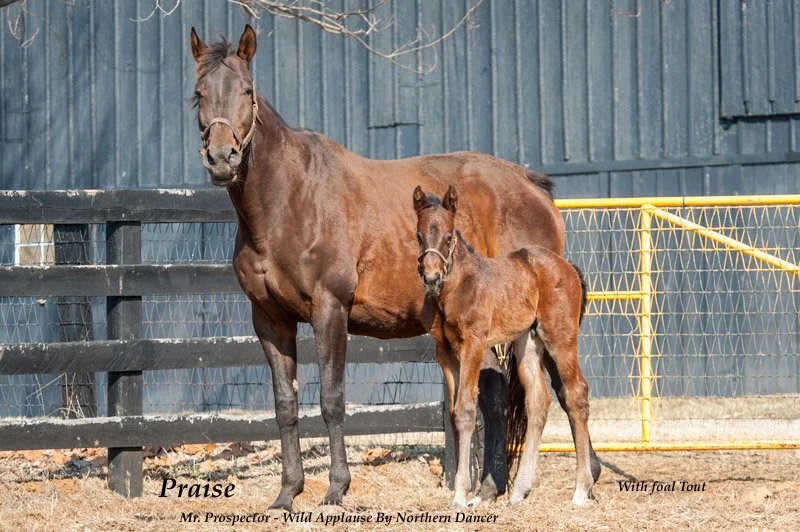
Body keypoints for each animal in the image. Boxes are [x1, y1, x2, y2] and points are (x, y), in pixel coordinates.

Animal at [190, 24, 568, 510]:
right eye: (199, 93)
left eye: (247, 91)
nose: (223, 158)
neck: (289, 200)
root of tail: (531, 185)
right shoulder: (270, 320)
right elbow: (285, 404)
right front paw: (287, 493)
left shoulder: (329, 311)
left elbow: (331, 399)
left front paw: (336, 489)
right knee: (497, 395)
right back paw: (487, 488)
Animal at [413, 185, 601, 507]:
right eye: (419, 235)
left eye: (449, 236)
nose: (432, 277)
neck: (457, 286)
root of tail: (568, 268)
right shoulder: (444, 351)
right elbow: (453, 413)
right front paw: (465, 492)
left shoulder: (473, 345)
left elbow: (466, 410)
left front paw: (461, 495)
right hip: (527, 341)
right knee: (538, 400)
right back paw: (519, 491)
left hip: (559, 336)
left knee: (576, 393)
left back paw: (580, 490)